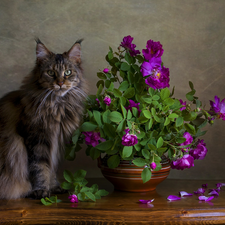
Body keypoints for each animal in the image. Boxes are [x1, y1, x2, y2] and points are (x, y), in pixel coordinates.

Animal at [0, 39, 87, 200]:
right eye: (51, 73)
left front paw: (54, 187)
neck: (57, 107)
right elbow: (39, 167)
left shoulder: (54, 143)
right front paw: (40, 190)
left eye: (68, 72)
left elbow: (50, 167)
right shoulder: (36, 140)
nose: (60, 83)